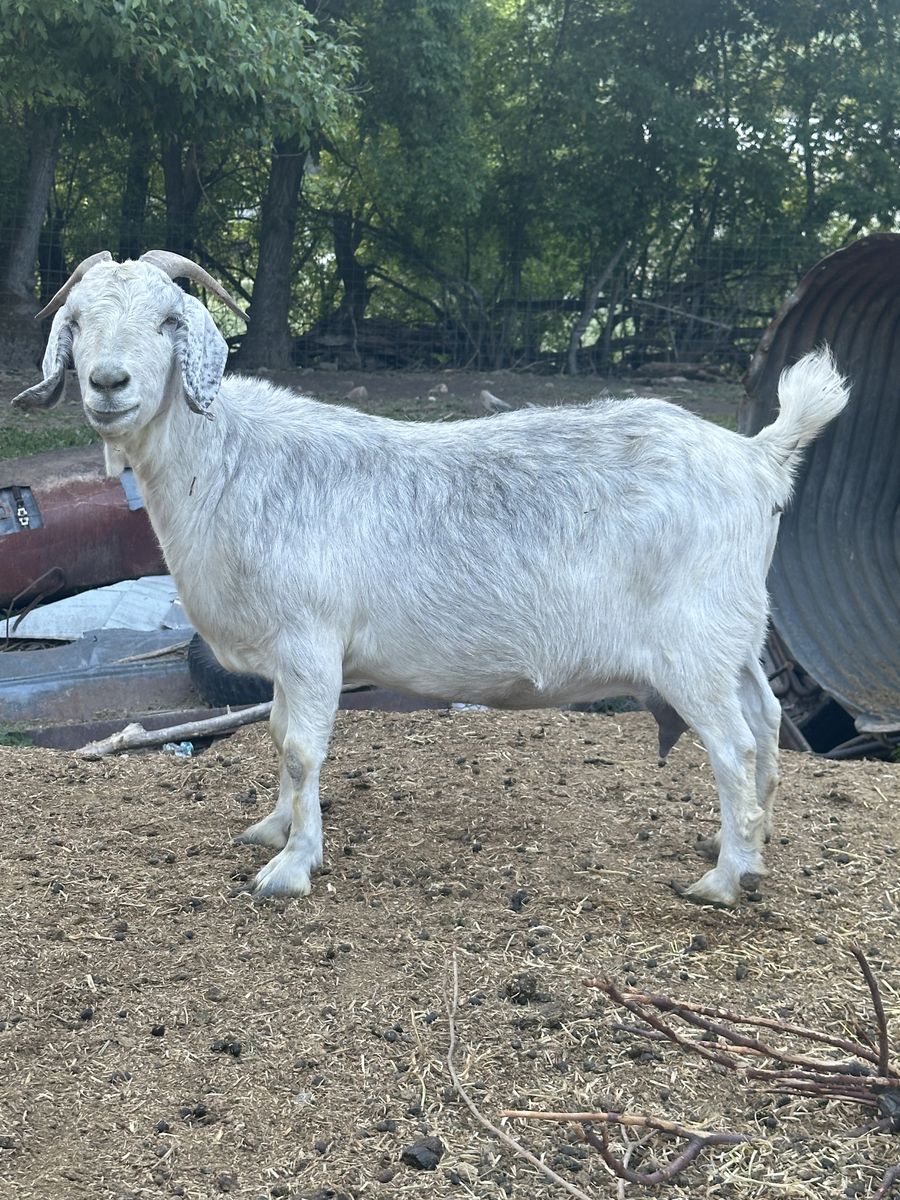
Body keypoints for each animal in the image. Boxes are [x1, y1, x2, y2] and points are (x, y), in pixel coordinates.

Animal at [13, 252, 850, 905]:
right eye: (78, 320)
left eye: (168, 321)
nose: (108, 382)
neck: (235, 464)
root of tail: (758, 457)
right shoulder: (285, 653)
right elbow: (279, 734)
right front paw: (273, 827)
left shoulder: (312, 641)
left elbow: (302, 749)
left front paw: (290, 867)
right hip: (734, 636)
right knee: (767, 725)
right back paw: (753, 848)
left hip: (692, 647)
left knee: (733, 746)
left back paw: (726, 878)